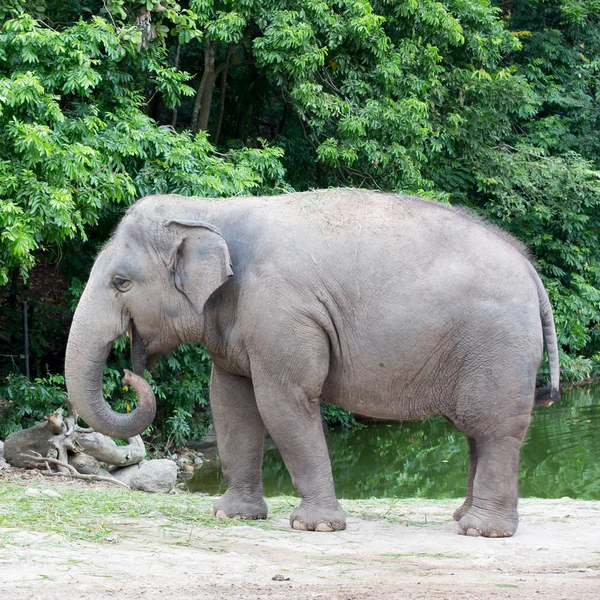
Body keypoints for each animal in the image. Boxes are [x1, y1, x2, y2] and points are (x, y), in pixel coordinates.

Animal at [65, 186, 556, 536]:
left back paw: (481, 530)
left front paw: (315, 526)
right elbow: (230, 404)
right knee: (476, 431)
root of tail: (531, 269)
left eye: (121, 282)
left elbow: (284, 402)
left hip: (498, 346)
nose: (127, 376)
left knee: (493, 428)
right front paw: (232, 515)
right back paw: (461, 518)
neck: (211, 210)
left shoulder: (282, 312)